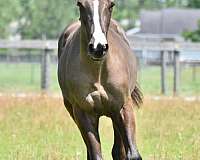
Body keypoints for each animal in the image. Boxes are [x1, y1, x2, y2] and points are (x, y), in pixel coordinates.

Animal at [57, 0, 143, 159]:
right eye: (80, 4)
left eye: (111, 5)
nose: (98, 47)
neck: (98, 73)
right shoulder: (84, 113)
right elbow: (96, 154)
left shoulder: (123, 107)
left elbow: (132, 154)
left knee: (118, 150)